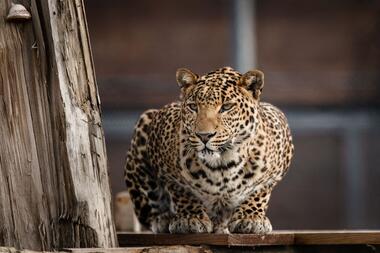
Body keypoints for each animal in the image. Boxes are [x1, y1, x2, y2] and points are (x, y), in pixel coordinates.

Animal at [124, 66, 294, 234]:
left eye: (226, 107)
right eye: (193, 107)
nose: (204, 136)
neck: (223, 165)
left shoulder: (279, 155)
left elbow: (260, 190)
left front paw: (250, 217)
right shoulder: (166, 169)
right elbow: (181, 191)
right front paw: (190, 218)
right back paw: (163, 219)